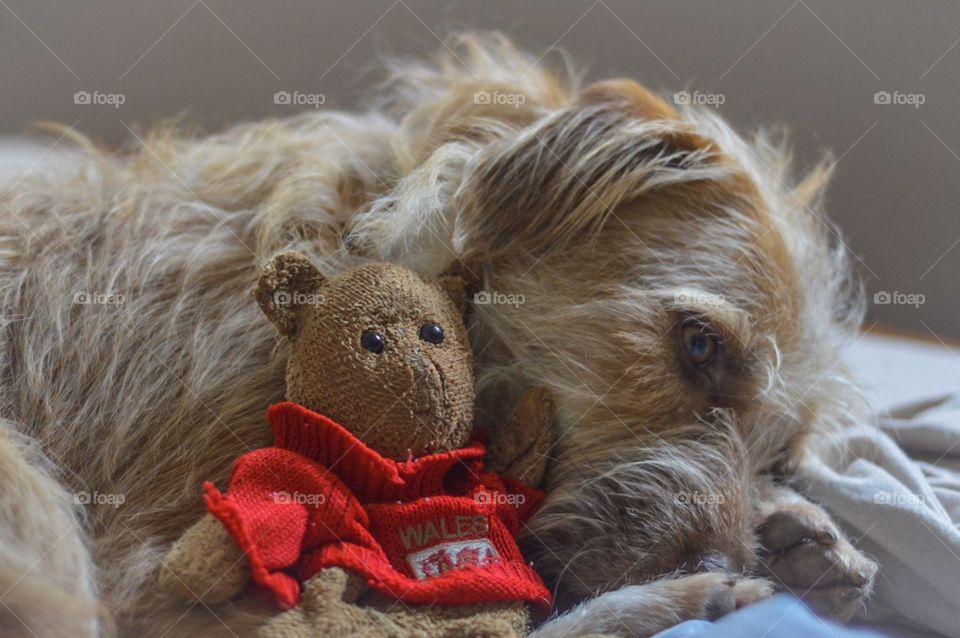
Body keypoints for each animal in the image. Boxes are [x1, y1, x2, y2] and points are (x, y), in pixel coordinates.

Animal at [0, 35, 876, 638]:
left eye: (781, 457)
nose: (715, 558)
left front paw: (798, 526)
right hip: (29, 484)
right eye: (699, 345)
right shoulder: (156, 559)